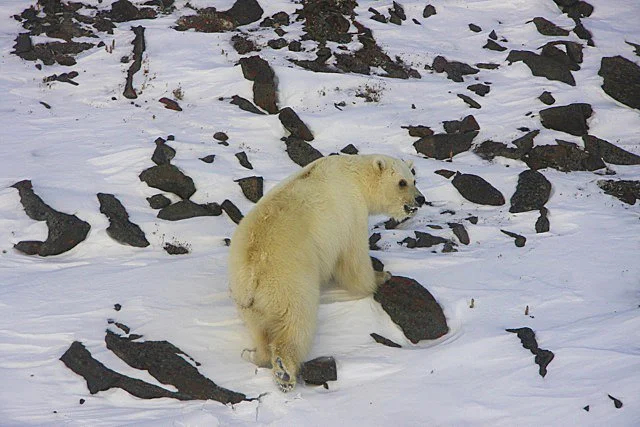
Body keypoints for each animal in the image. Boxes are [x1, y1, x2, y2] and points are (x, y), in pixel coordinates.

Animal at [229, 155, 424, 394]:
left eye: (414, 179)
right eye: (402, 182)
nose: (420, 199)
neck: (355, 175)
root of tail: (251, 274)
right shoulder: (351, 213)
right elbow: (353, 259)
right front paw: (381, 276)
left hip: (248, 301)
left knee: (259, 329)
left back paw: (255, 355)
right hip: (288, 282)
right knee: (297, 322)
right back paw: (285, 371)